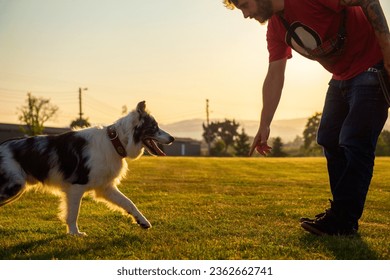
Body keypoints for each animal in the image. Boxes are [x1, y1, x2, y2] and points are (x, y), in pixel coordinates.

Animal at [0, 100, 174, 234]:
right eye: (154, 127)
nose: (172, 138)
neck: (114, 141)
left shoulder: (106, 187)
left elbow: (129, 203)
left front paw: (142, 221)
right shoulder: (76, 187)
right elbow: (73, 214)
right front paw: (75, 233)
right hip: (14, 187)